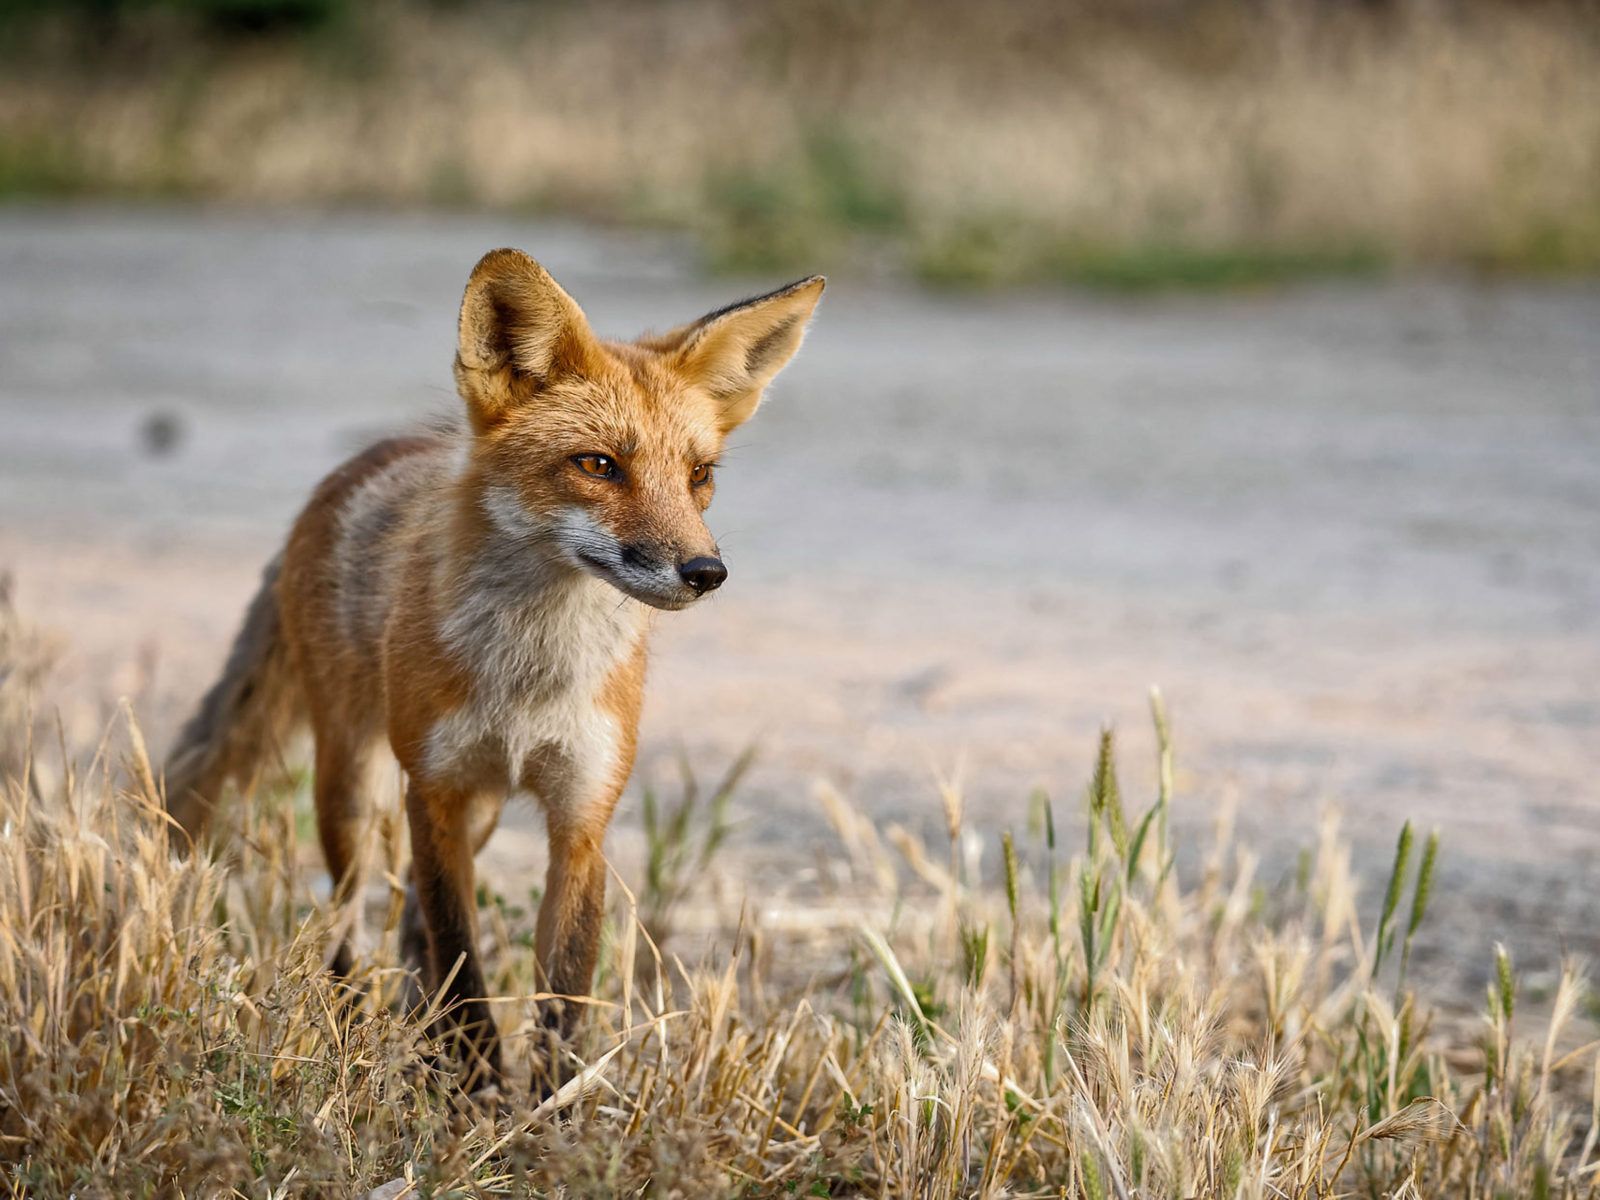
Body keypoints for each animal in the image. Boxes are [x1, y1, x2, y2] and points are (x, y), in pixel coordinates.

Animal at [162, 251, 825, 1100]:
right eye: (598, 465)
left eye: (699, 475)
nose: (706, 572)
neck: (530, 679)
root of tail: (371, 457)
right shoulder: (435, 789)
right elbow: (463, 961)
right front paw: (476, 1089)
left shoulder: (581, 815)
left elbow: (562, 993)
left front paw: (550, 1110)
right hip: (354, 787)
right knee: (348, 921)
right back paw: (354, 1026)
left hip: (469, 812)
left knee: (410, 926)